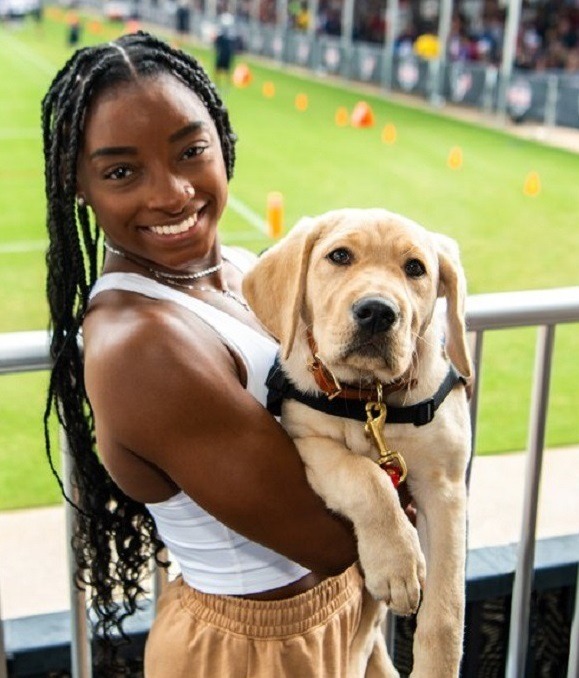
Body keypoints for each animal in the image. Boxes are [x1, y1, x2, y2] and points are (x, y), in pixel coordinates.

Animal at [242, 210, 474, 676]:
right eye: (339, 256)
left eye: (415, 268)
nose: (377, 312)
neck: (371, 398)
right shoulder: (305, 441)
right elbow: (366, 476)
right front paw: (398, 559)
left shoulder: (445, 486)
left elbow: (446, 613)